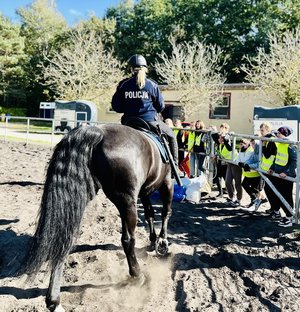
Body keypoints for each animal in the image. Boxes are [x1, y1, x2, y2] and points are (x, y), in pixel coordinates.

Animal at [21, 124, 173, 312]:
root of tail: (98, 132)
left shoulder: (144, 192)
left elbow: (150, 212)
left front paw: (153, 241)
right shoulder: (167, 182)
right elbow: (165, 211)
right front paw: (162, 243)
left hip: (81, 198)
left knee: (64, 240)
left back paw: (54, 300)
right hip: (127, 200)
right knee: (128, 240)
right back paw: (137, 275)